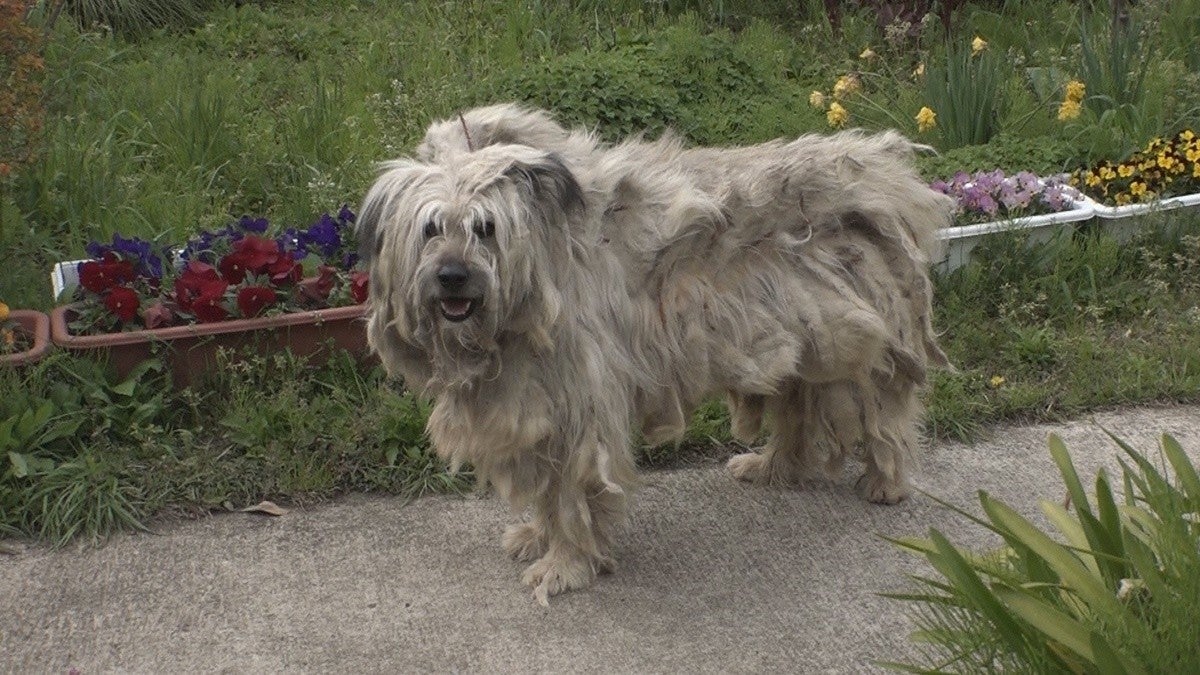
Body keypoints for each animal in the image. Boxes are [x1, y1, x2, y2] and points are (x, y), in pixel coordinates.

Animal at [355, 103, 945, 598]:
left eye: (485, 228)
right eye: (431, 228)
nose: (452, 276)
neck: (543, 269)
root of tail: (885, 172)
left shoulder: (579, 408)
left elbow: (570, 492)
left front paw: (565, 565)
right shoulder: (539, 405)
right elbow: (547, 491)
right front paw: (538, 536)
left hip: (860, 339)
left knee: (885, 412)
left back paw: (886, 482)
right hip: (794, 341)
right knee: (796, 410)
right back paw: (774, 467)